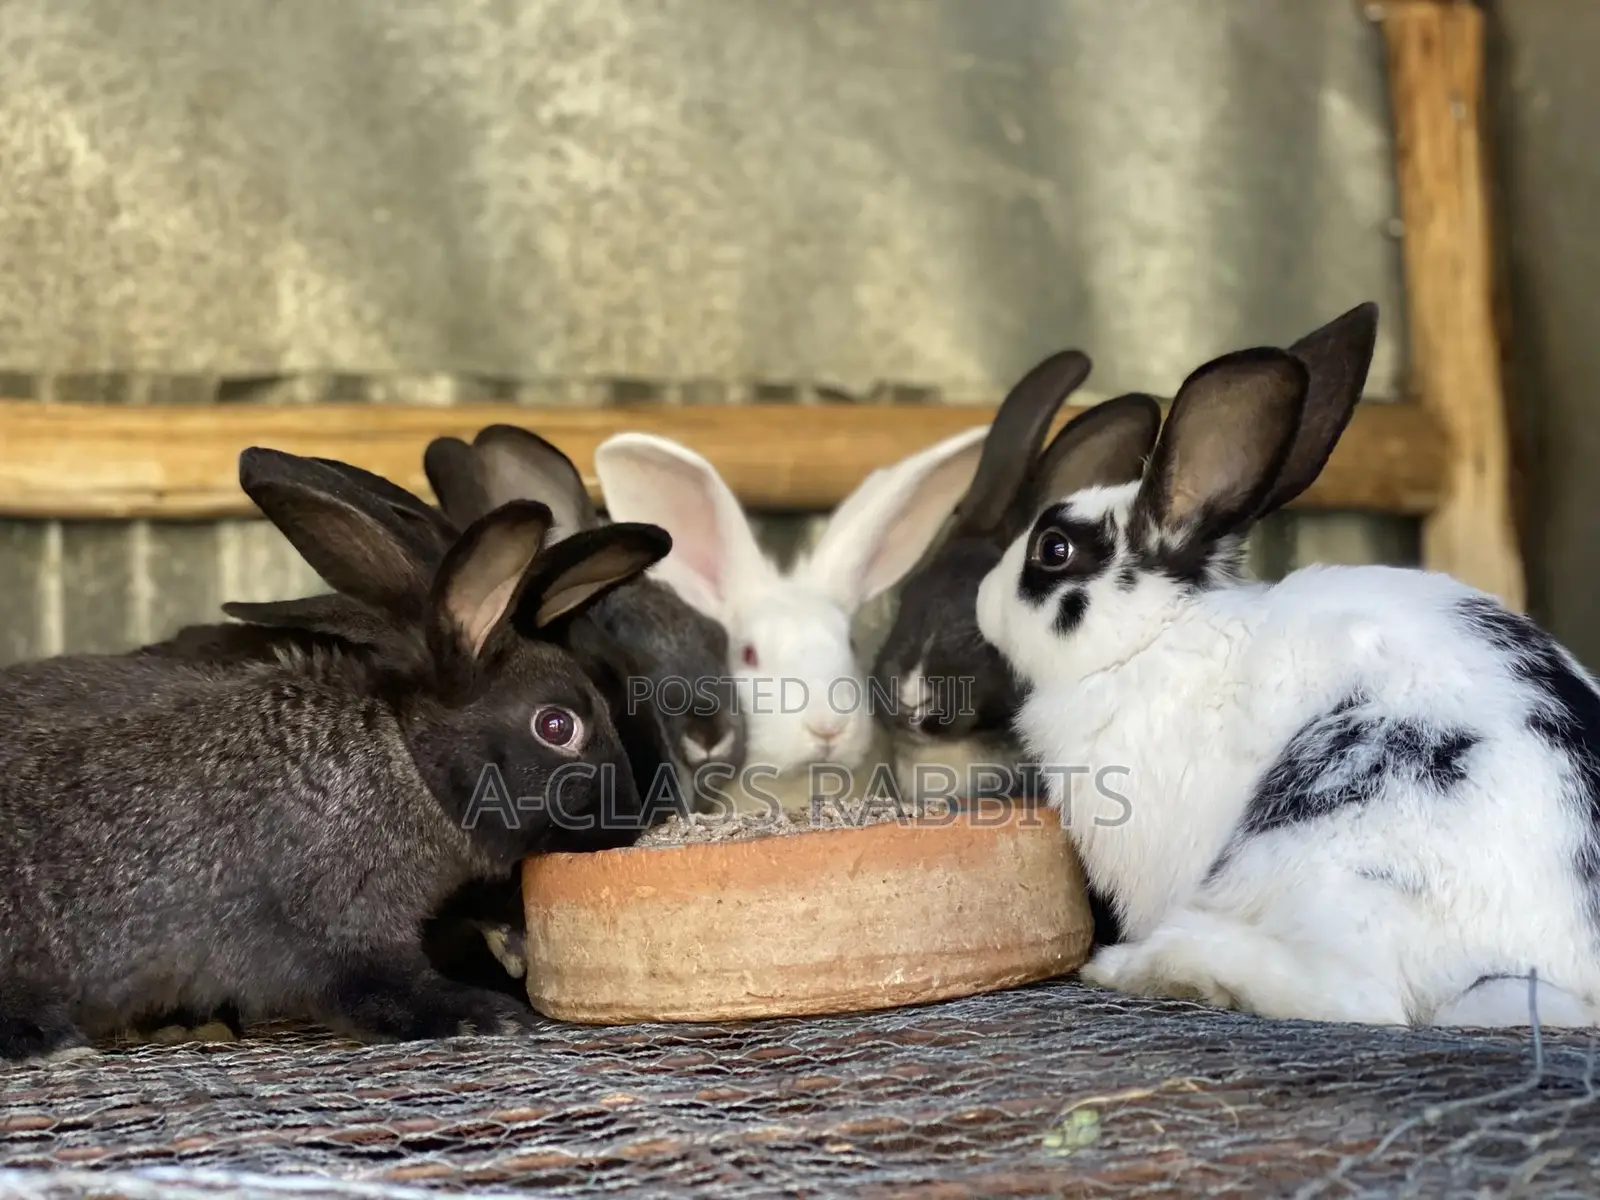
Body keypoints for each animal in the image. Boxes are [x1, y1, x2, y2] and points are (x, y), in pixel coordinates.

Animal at [0, 446, 669, 1060]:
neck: (406, 763)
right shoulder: (335, 931)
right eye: (557, 725)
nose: (630, 819)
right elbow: (379, 991)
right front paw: (490, 1015)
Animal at [973, 299, 1600, 1028]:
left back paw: (1155, 967)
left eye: (1052, 550)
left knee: (1361, 998)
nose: (982, 600)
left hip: (1334, 849)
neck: (1155, 638)